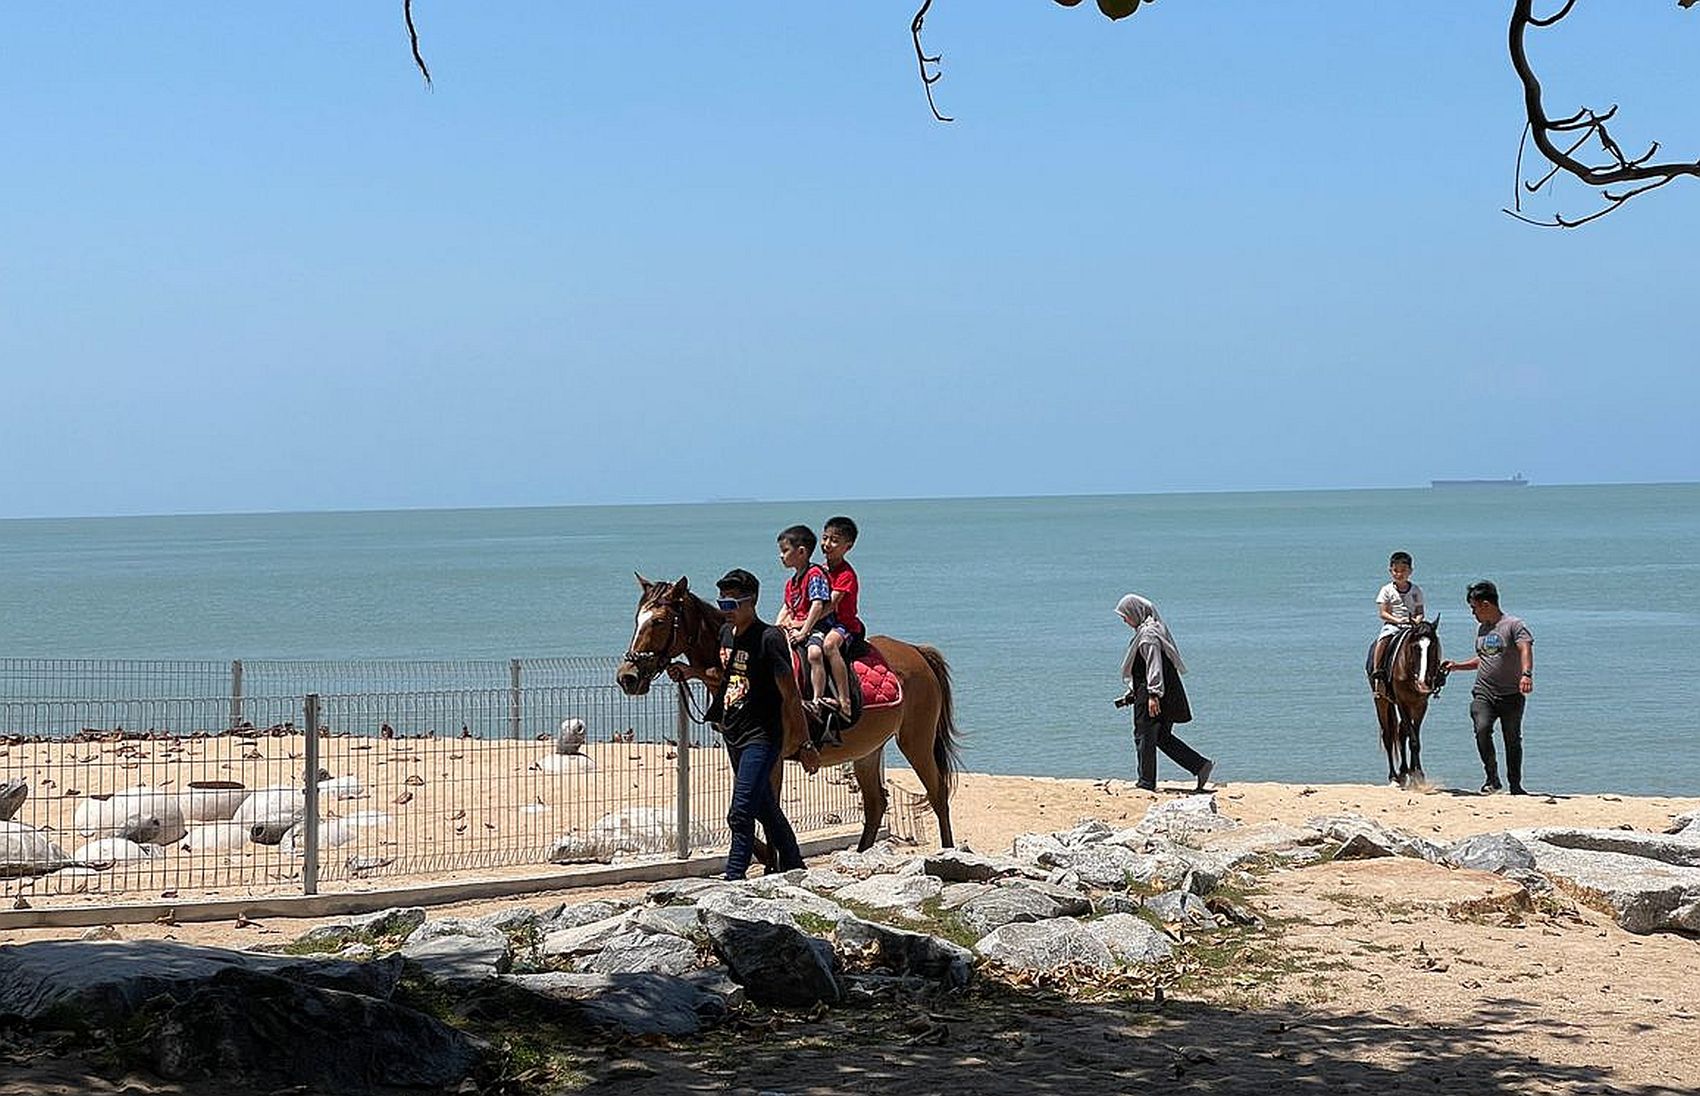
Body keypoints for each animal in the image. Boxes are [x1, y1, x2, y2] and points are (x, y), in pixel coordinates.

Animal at [615, 577, 965, 849]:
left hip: (915, 741)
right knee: (876, 804)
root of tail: (917, 652)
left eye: (659, 621)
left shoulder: (773, 757)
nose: (627, 677)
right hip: (868, 750)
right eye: (636, 618)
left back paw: (947, 853)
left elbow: (767, 815)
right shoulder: (742, 753)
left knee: (937, 794)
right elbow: (754, 811)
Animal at [1366, 615, 1448, 785]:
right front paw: (1416, 775)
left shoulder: (1420, 705)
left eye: (1433, 647)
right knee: (1388, 736)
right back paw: (1394, 776)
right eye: (1415, 647)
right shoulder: (1402, 702)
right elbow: (1412, 738)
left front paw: (1417, 774)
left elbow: (1414, 738)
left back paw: (1404, 772)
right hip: (1382, 702)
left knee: (1401, 732)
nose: (1423, 683)